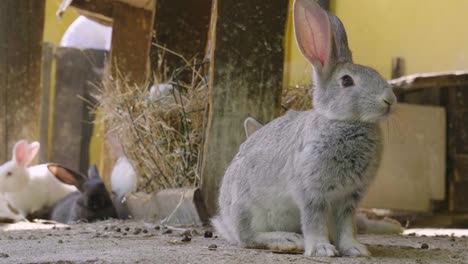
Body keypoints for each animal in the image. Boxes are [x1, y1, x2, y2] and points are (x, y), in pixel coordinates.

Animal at [214, 0, 396, 256]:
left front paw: (355, 249)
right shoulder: (312, 193)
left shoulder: (349, 199)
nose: (389, 100)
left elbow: (346, 227)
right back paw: (287, 240)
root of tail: (226, 221)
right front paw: (322, 249)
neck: (343, 121)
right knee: (247, 237)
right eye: (347, 81)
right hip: (247, 209)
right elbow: (314, 222)